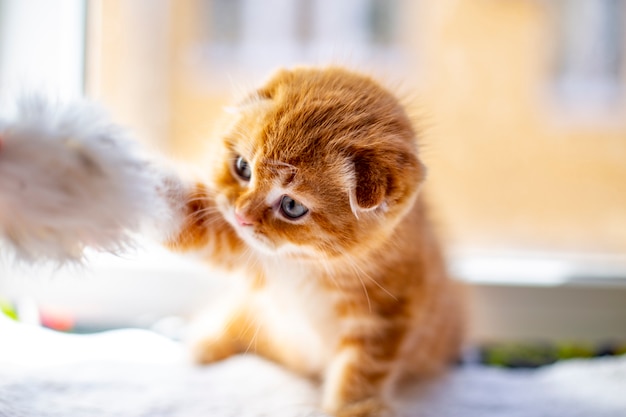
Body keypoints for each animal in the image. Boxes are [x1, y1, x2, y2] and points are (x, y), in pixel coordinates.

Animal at [167, 66, 464, 414]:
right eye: (242, 168)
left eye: (292, 206)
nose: (241, 216)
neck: (313, 265)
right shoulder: (250, 251)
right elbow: (197, 225)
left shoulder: (389, 316)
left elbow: (364, 367)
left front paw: (354, 407)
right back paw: (210, 339)